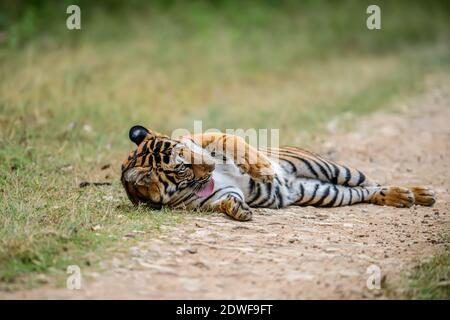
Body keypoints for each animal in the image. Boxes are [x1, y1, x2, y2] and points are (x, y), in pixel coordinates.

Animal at [120, 126, 436, 221]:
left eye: (186, 151)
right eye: (182, 169)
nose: (209, 167)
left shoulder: (207, 138)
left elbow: (229, 141)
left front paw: (263, 168)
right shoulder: (212, 196)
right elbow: (225, 200)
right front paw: (239, 210)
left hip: (335, 169)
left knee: (374, 182)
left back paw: (418, 193)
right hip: (327, 193)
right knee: (365, 192)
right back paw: (405, 197)